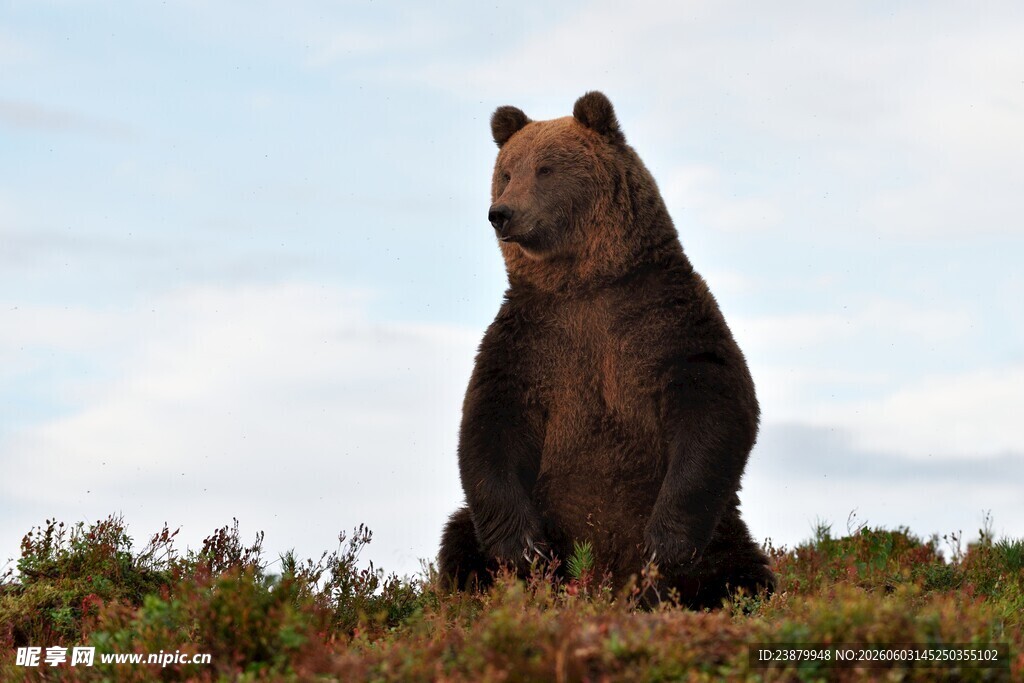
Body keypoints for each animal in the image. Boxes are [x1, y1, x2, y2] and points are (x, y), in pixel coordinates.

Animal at [438, 91, 775, 609]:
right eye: (507, 171)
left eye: (546, 168)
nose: (501, 213)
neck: (584, 285)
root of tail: (604, 584)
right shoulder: (529, 340)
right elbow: (489, 425)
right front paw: (525, 548)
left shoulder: (665, 322)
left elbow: (714, 406)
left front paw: (665, 544)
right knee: (459, 536)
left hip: (723, 530)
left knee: (739, 567)